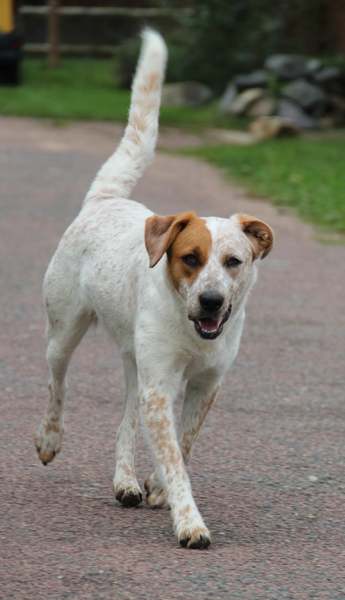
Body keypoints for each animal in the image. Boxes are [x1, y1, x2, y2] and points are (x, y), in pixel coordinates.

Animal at [36, 29, 272, 548]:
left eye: (234, 261)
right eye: (190, 258)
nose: (211, 300)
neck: (191, 329)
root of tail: (105, 200)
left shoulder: (205, 385)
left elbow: (181, 444)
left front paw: (156, 487)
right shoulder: (161, 385)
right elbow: (174, 457)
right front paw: (189, 521)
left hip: (134, 362)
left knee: (126, 418)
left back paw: (125, 481)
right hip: (64, 332)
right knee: (58, 383)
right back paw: (50, 439)